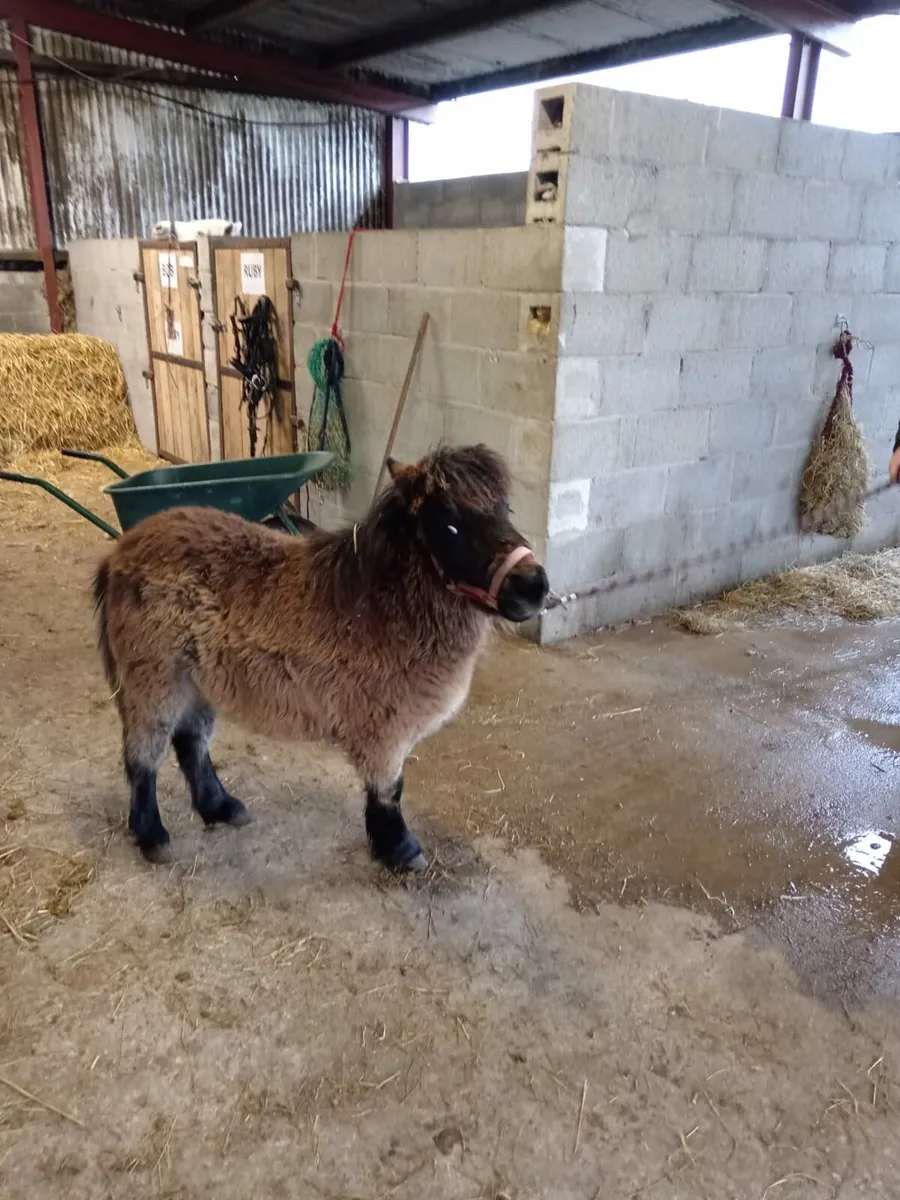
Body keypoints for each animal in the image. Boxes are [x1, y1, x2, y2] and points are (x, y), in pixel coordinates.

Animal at [92, 443, 549, 872]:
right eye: (451, 525)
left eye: (504, 510)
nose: (533, 586)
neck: (384, 607)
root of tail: (121, 552)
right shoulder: (386, 731)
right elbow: (389, 792)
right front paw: (401, 850)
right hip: (154, 681)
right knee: (144, 756)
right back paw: (153, 836)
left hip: (195, 682)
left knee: (191, 745)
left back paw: (220, 808)